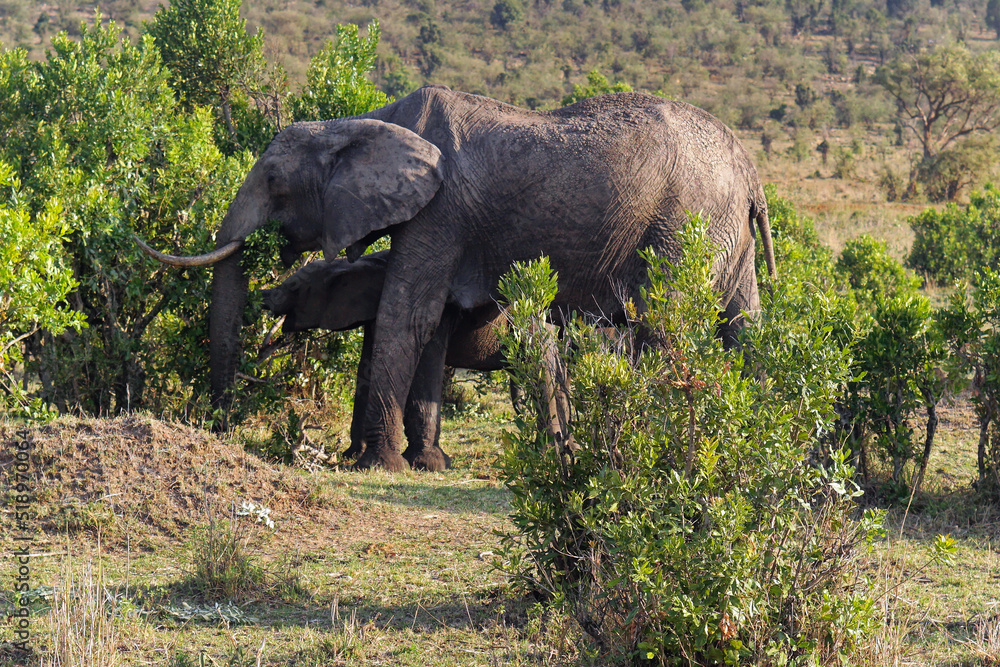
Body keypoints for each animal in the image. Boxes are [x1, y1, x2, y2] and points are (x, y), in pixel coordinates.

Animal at [260, 250, 505, 469]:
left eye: (294, 287)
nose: (261, 296)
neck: (357, 263)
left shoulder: (440, 311)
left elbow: (427, 363)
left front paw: (429, 464)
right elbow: (367, 368)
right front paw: (352, 455)